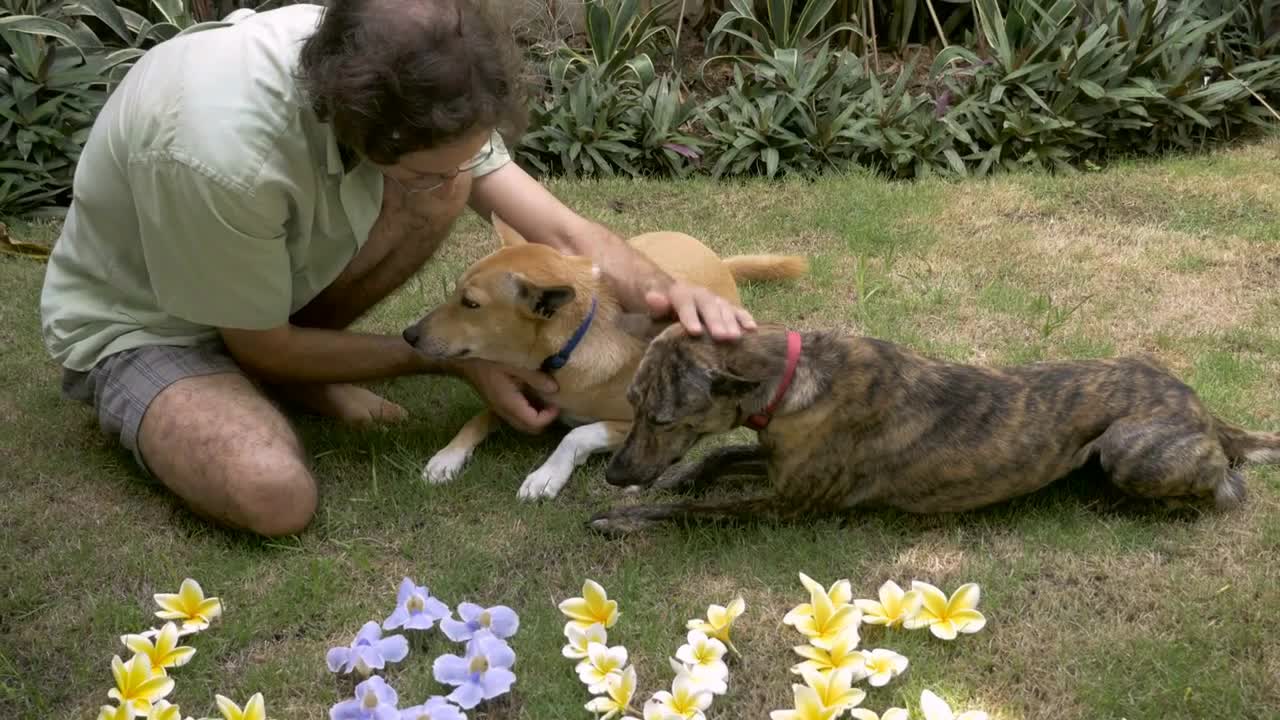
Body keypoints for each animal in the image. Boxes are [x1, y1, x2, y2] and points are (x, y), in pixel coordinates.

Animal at [399, 213, 803, 499]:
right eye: (455, 292)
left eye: (471, 304)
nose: (408, 335)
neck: (569, 348)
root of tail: (717, 260)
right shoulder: (521, 391)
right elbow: (481, 415)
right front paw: (448, 456)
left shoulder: (630, 420)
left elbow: (577, 434)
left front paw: (547, 474)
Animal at [591, 322, 1280, 530]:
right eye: (630, 403)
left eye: (660, 417)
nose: (615, 474)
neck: (790, 377)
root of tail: (1198, 405)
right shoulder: (780, 458)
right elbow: (721, 456)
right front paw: (674, 477)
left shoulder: (789, 502)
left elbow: (698, 512)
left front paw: (628, 516)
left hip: (1127, 448)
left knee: (1228, 487)